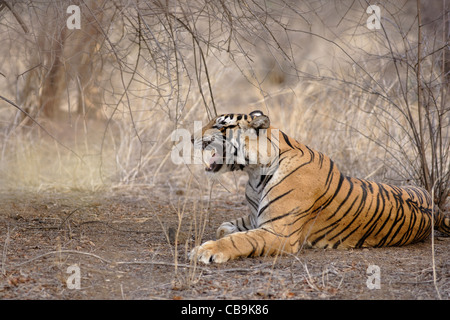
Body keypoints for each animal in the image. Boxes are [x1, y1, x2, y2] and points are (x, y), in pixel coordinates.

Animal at [189, 109, 450, 264]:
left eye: (221, 126)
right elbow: (225, 228)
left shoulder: (279, 231)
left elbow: (239, 240)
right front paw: (225, 232)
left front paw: (204, 251)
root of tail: (437, 211)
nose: (191, 138)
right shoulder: (257, 218)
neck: (254, 174)